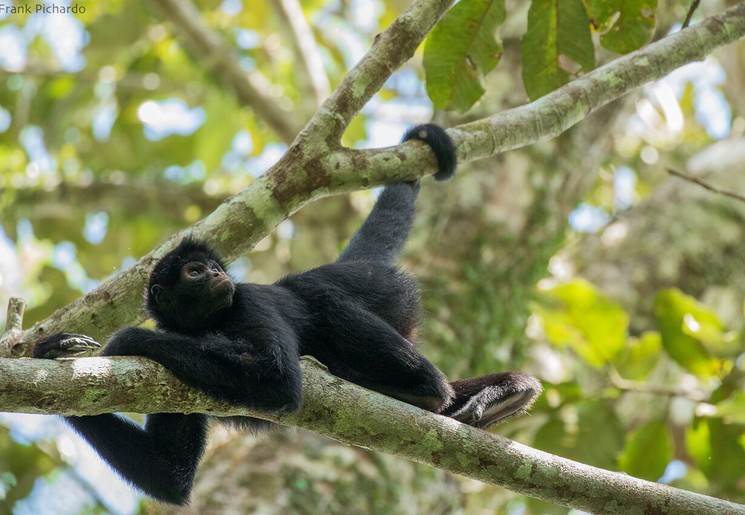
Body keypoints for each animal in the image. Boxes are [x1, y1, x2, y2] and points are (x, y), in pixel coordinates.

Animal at [35, 124, 540, 504]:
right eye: (196, 271)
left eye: (216, 268)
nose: (217, 273)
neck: (207, 323)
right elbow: (168, 476)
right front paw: (52, 350)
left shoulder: (246, 299)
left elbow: (278, 380)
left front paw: (129, 340)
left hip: (381, 292)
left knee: (321, 300)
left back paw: (430, 390)